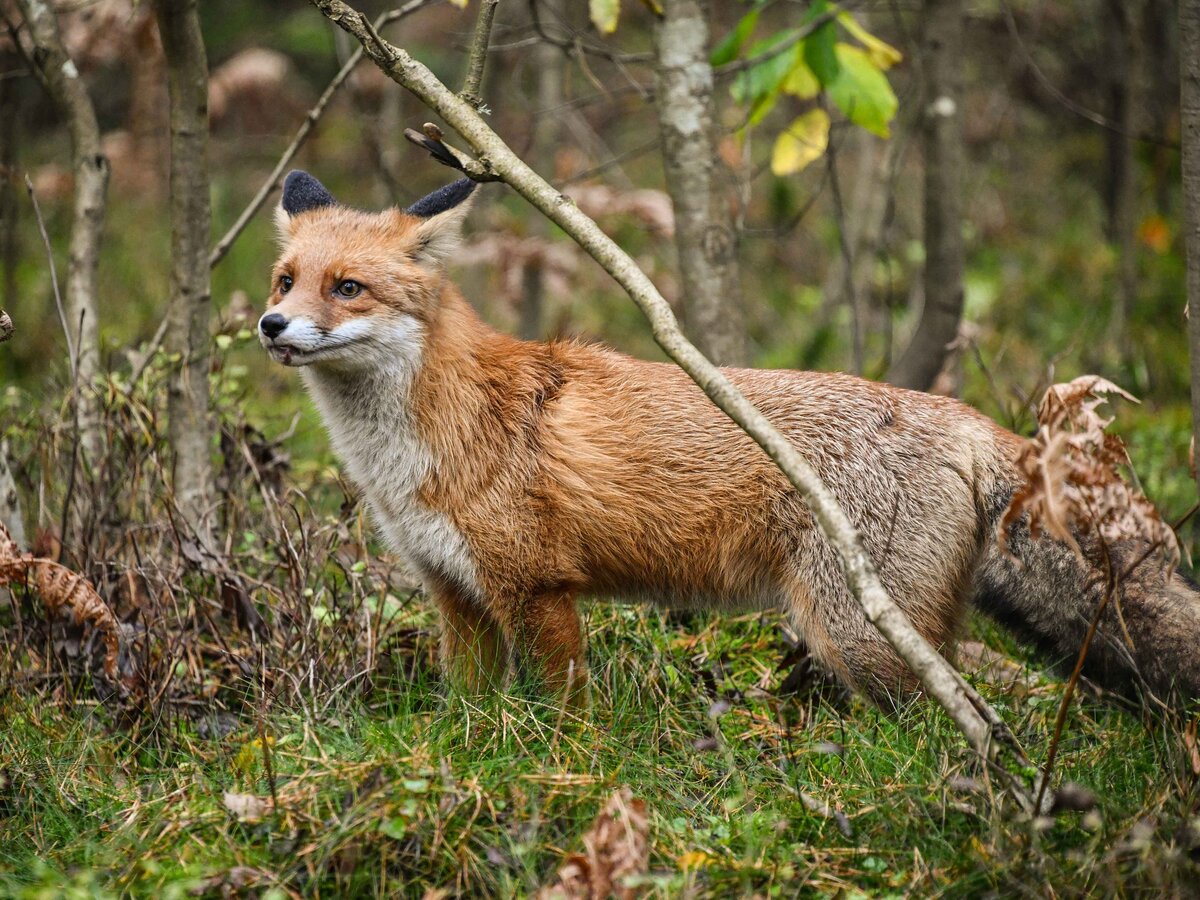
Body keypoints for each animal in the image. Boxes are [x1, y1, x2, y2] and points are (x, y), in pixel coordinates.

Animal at [258, 168, 1200, 705]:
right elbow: (468, 718)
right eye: (285, 279)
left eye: (347, 288)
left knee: (943, 719)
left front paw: (565, 772)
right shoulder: (456, 594)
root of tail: (968, 419)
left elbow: (563, 716)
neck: (422, 445)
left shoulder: (538, 590)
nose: (270, 326)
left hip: (858, 634)